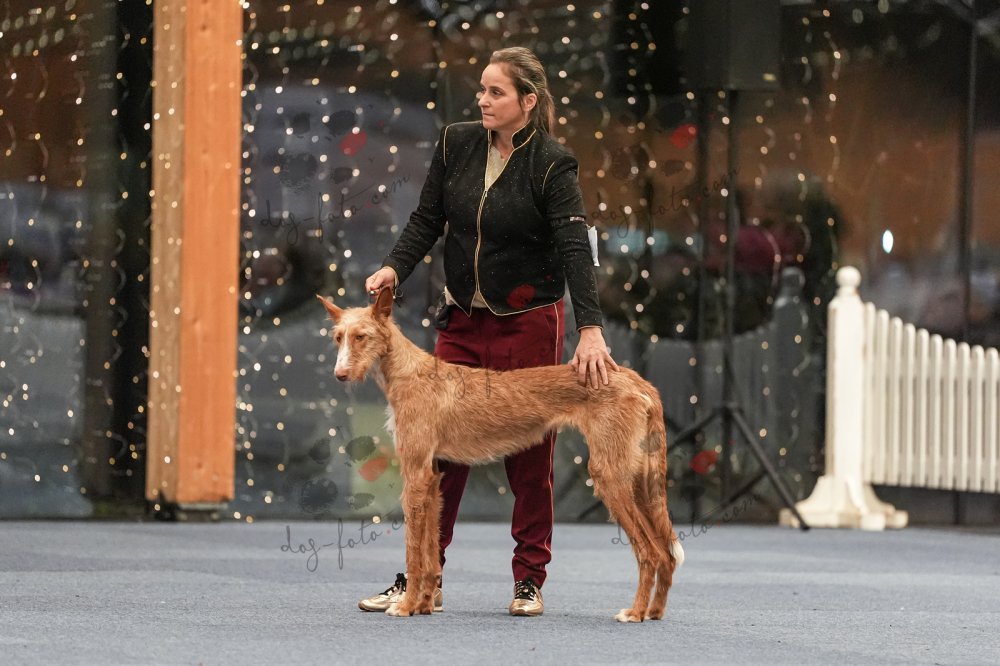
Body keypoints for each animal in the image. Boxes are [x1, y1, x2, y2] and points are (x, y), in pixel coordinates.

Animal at [318, 289, 683, 622]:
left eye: (361, 336)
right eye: (338, 338)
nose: (339, 375)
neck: (408, 373)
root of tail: (636, 380)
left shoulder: (416, 474)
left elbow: (414, 551)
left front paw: (407, 606)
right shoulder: (433, 477)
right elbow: (432, 553)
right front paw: (423, 604)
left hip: (610, 476)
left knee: (650, 553)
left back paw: (635, 612)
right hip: (642, 482)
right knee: (666, 556)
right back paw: (654, 612)